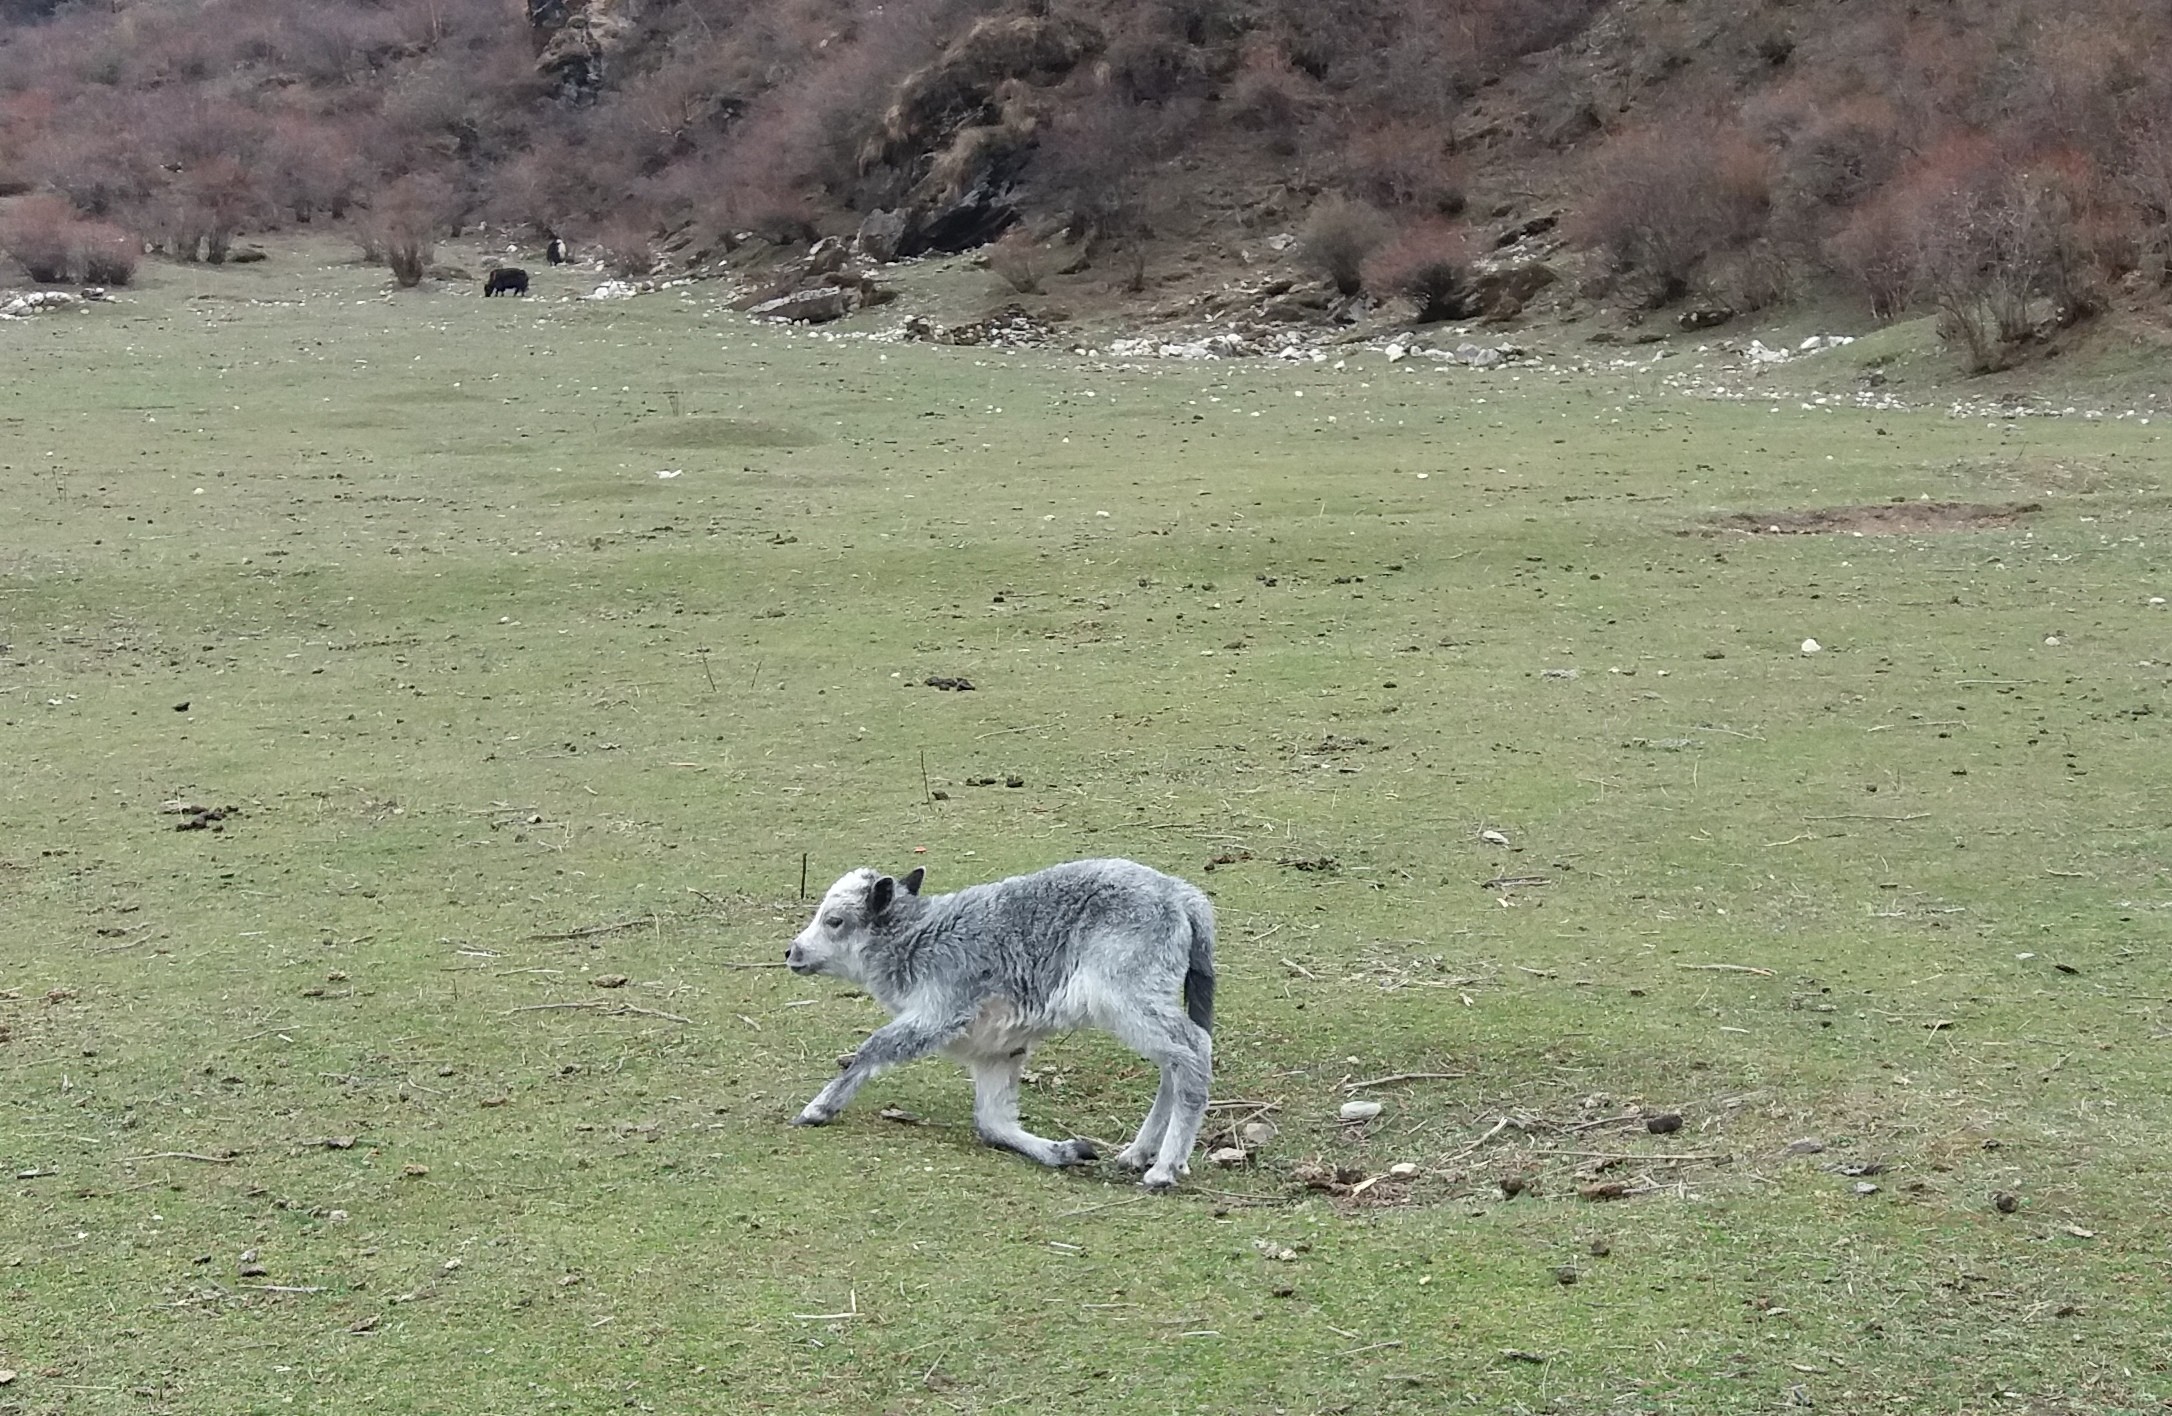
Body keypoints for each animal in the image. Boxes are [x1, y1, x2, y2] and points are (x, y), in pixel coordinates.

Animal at [786, 855, 1225, 1190]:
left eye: (835, 921)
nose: (793, 952)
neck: (915, 940)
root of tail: (1183, 896)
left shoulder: (941, 1009)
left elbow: (873, 1047)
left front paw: (818, 1108)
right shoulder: (996, 1048)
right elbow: (992, 1122)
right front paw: (1065, 1151)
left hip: (1128, 993)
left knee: (1192, 1048)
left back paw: (1164, 1168)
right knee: (1177, 1058)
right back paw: (1137, 1153)